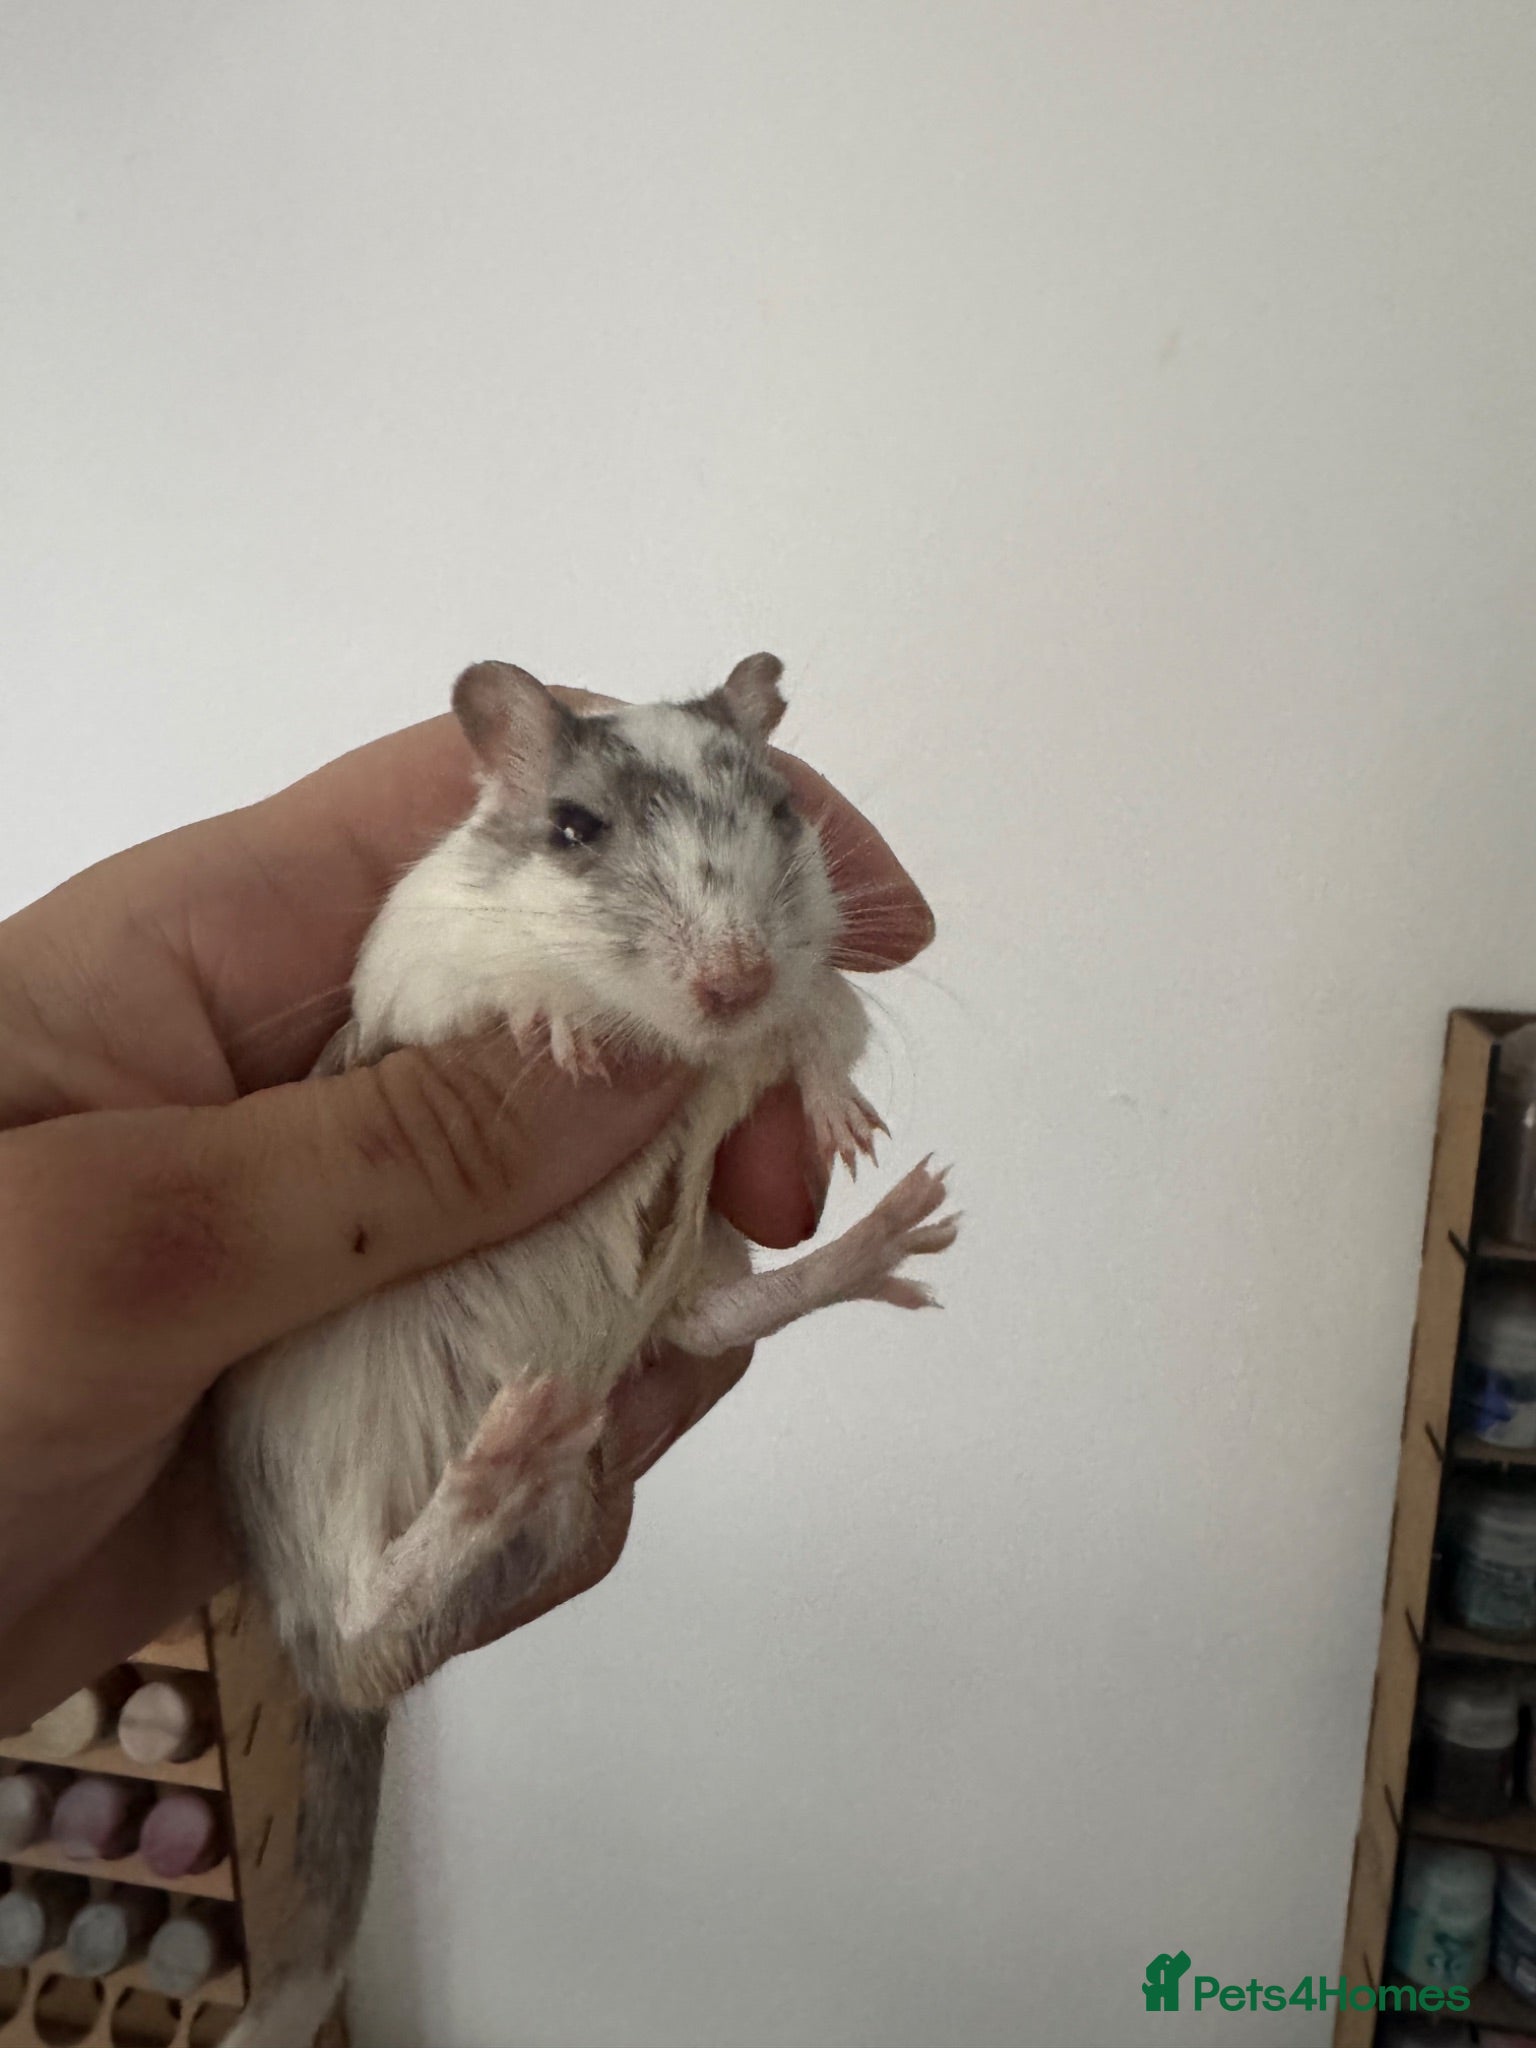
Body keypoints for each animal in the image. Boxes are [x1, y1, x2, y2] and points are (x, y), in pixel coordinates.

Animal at [213, 654, 957, 2047]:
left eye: (782, 809)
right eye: (571, 828)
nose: (732, 983)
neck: (683, 1042)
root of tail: (342, 1686)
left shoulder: (810, 990)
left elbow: (820, 1027)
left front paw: (845, 1120)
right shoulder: (414, 978)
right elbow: (493, 1003)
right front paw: (561, 1032)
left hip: (680, 1289)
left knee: (709, 1319)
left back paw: (875, 1241)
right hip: (313, 1463)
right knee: (362, 1591)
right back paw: (494, 1458)